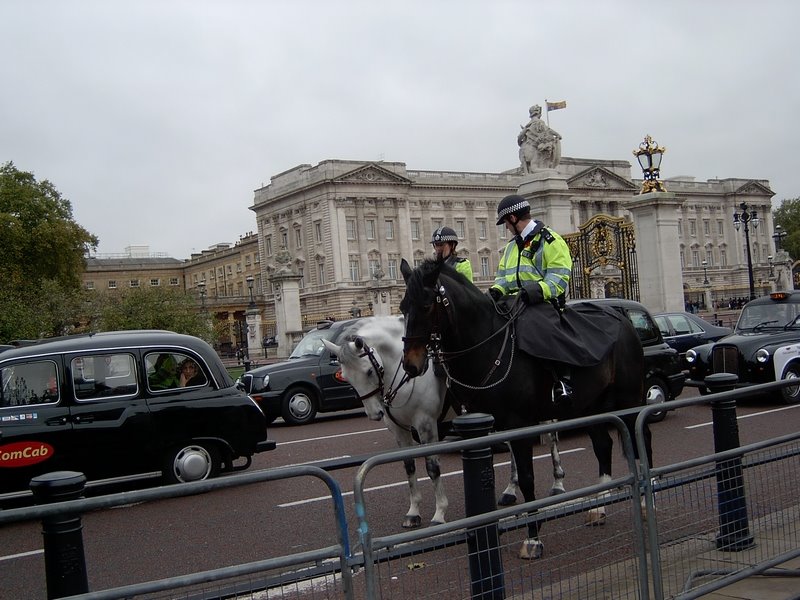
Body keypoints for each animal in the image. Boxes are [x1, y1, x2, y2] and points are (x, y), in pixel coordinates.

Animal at [398, 260, 648, 560]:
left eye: (425, 306)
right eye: (402, 307)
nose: (411, 365)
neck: (489, 345)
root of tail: (623, 318)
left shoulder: (520, 423)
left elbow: (528, 478)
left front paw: (533, 538)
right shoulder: (485, 428)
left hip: (629, 400)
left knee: (640, 437)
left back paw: (644, 503)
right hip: (591, 406)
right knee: (603, 445)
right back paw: (598, 508)